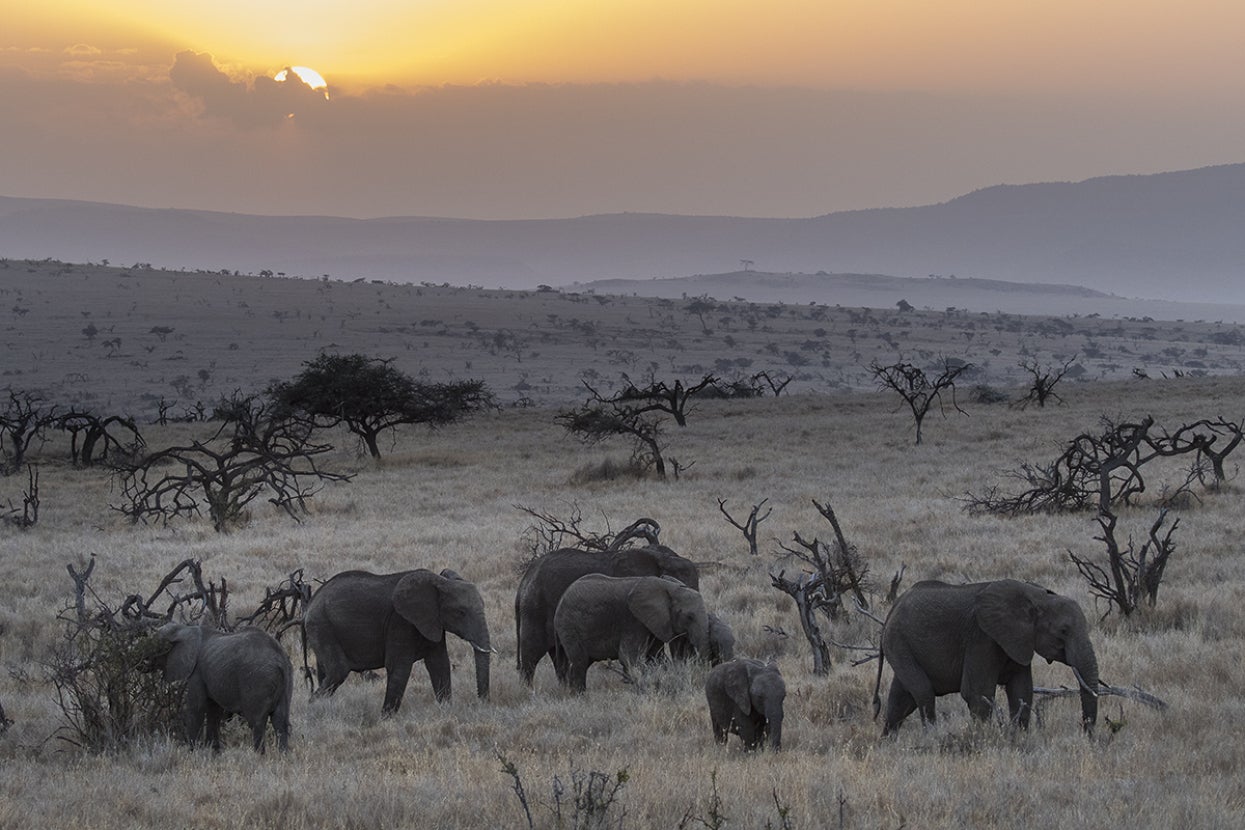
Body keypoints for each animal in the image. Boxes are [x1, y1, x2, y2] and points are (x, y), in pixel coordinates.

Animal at [149, 622, 293, 753]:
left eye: (158, 649)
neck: (183, 629)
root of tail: (279, 658)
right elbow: (214, 711)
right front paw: (214, 753)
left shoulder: (197, 673)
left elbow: (197, 708)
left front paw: (192, 753)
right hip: (286, 680)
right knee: (281, 721)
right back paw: (283, 756)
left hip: (258, 680)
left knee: (257, 722)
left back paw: (258, 756)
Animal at [304, 568, 491, 714]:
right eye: (461, 612)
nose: (482, 703)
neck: (440, 583)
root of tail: (309, 605)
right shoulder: (400, 622)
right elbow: (400, 667)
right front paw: (386, 720)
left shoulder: (432, 622)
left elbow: (440, 664)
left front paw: (446, 711)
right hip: (322, 626)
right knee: (338, 670)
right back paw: (312, 710)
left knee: (325, 672)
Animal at [515, 544, 700, 684]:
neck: (664, 559)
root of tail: (525, 579)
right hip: (535, 609)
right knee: (532, 654)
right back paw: (528, 692)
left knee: (560, 659)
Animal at [553, 573, 710, 692]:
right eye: (689, 617)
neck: (667, 586)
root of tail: (560, 600)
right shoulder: (633, 620)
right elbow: (628, 656)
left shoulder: (655, 621)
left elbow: (656, 656)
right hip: (569, 626)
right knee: (580, 662)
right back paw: (579, 695)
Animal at [873, 579, 1100, 736]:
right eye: (1063, 631)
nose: (1087, 734)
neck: (1037, 597)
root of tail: (893, 607)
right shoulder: (982, 637)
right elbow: (977, 692)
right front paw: (983, 738)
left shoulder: (1018, 641)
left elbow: (1022, 690)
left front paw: (1019, 738)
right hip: (898, 642)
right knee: (923, 693)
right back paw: (932, 736)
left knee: (901, 699)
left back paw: (888, 742)